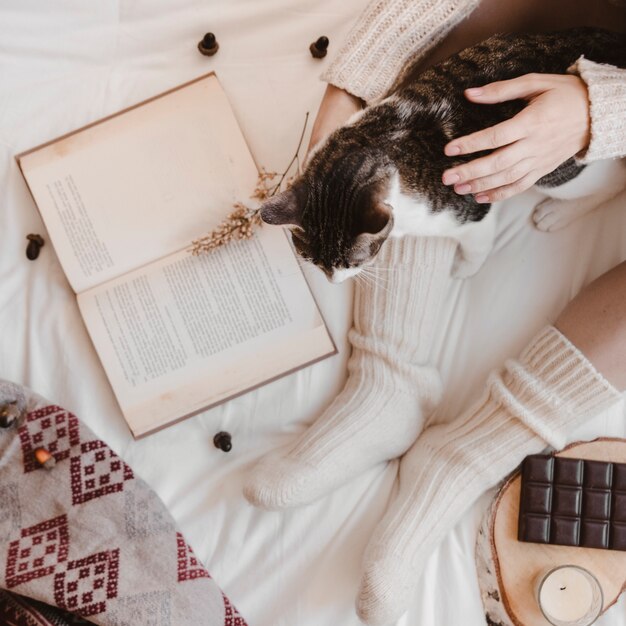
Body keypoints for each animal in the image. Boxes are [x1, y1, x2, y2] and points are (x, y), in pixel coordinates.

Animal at [260, 28, 624, 280]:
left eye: (353, 262)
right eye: (313, 261)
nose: (333, 280)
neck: (376, 140)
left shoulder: (473, 208)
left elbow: (477, 244)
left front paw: (464, 269)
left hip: (554, 171)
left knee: (610, 183)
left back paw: (559, 213)